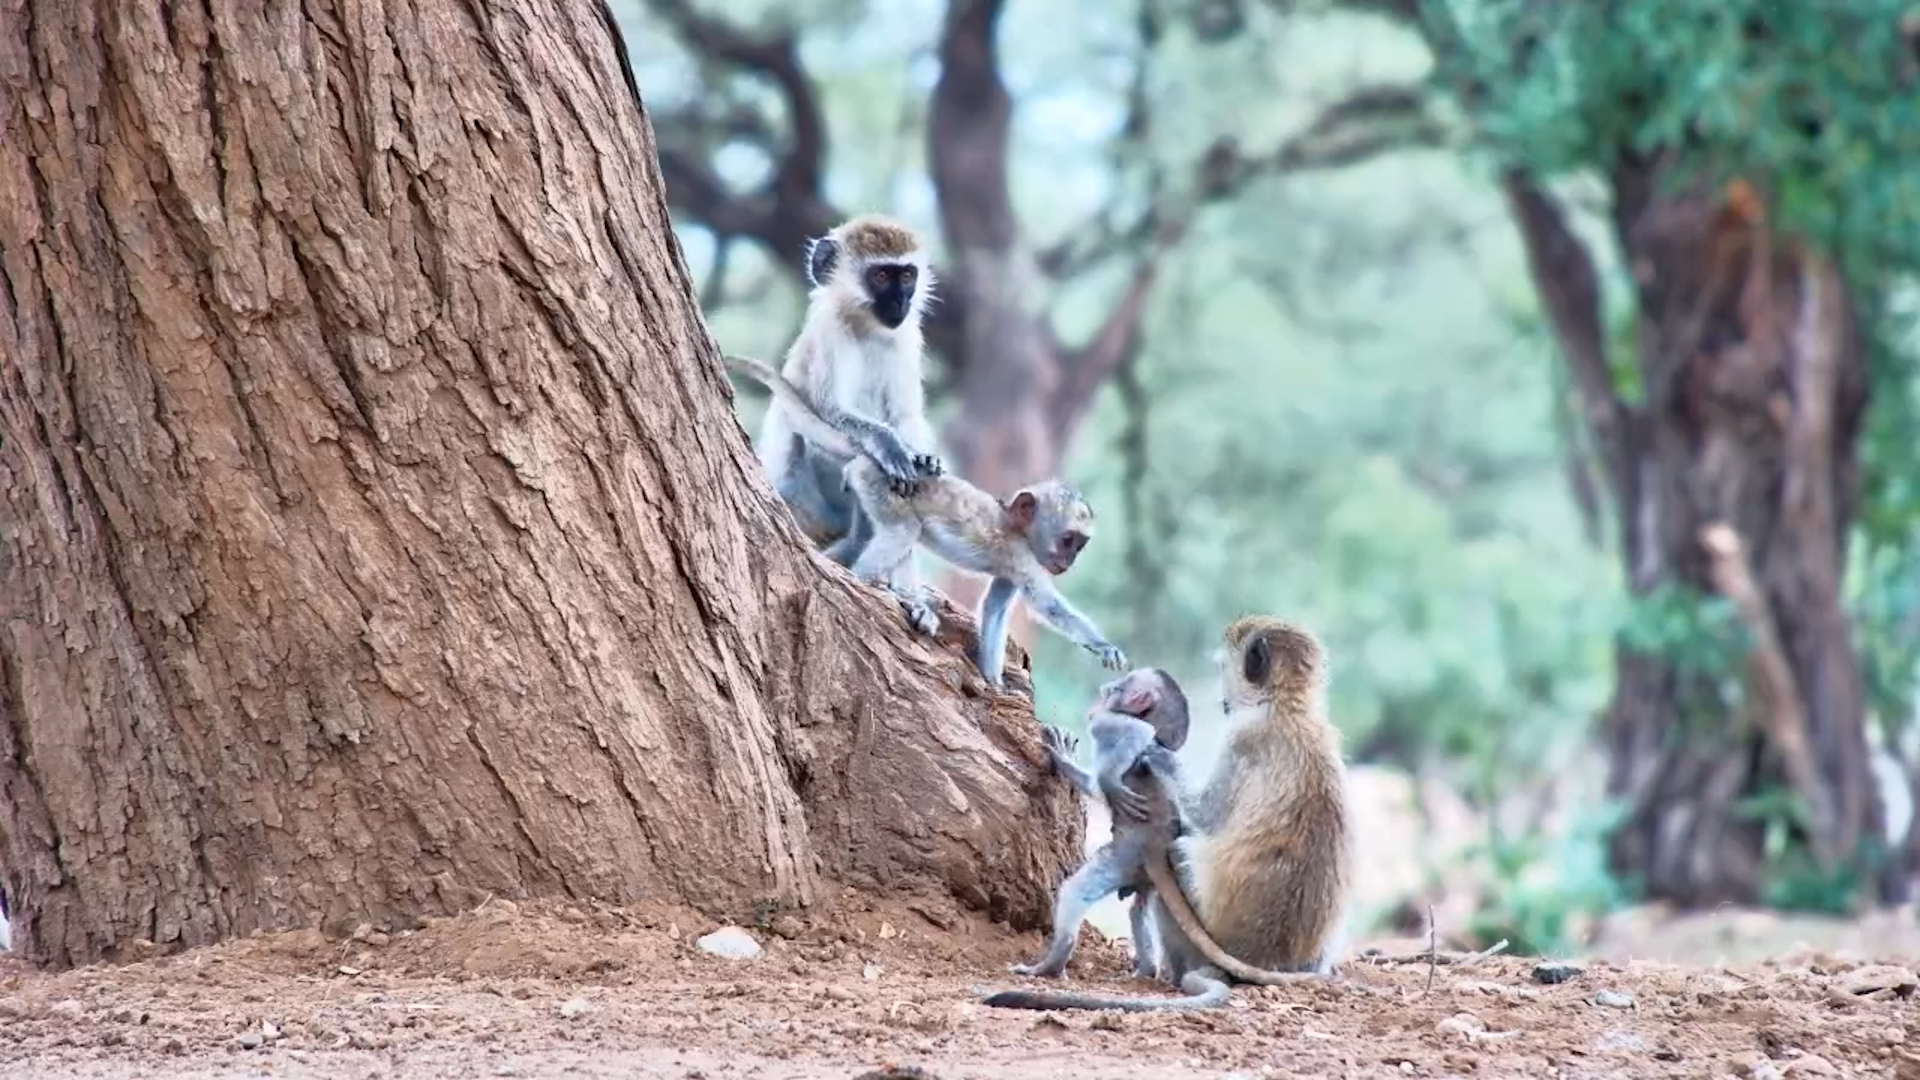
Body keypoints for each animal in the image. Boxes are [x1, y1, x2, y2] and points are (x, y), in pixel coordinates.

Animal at [726, 354, 1127, 686]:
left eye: (1079, 546)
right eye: (1069, 540)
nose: (1067, 562)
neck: (1018, 526)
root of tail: (876, 456)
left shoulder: (1015, 566)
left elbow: (995, 608)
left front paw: (992, 681)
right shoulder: (1023, 556)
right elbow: (1048, 606)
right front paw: (1104, 645)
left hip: (864, 488)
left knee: (863, 538)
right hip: (882, 488)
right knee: (903, 532)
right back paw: (872, 586)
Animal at [749, 214, 944, 574]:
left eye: (907, 276)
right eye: (880, 276)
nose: (901, 302)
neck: (866, 326)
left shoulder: (908, 335)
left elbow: (905, 415)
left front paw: (923, 456)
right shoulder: (831, 331)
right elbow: (829, 411)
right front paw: (890, 445)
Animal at [981, 617, 1352, 1012]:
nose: (1105, 687)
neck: (1287, 705)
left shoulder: (1241, 736)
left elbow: (1205, 815)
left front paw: (1155, 758)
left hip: (1144, 875)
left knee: (1151, 864)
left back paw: (1058, 965)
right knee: (1141, 903)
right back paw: (1144, 968)